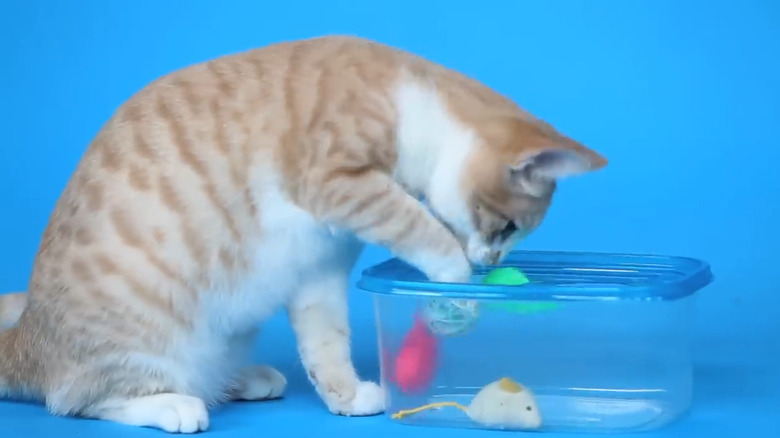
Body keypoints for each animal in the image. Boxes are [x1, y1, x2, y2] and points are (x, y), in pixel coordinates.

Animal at [0, 34, 608, 432]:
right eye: (506, 228)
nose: (489, 265)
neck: (411, 103)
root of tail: (27, 335)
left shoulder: (320, 266)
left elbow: (326, 341)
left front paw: (345, 394)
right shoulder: (335, 181)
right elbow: (423, 230)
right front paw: (455, 289)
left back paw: (242, 379)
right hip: (137, 343)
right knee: (77, 399)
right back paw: (173, 404)